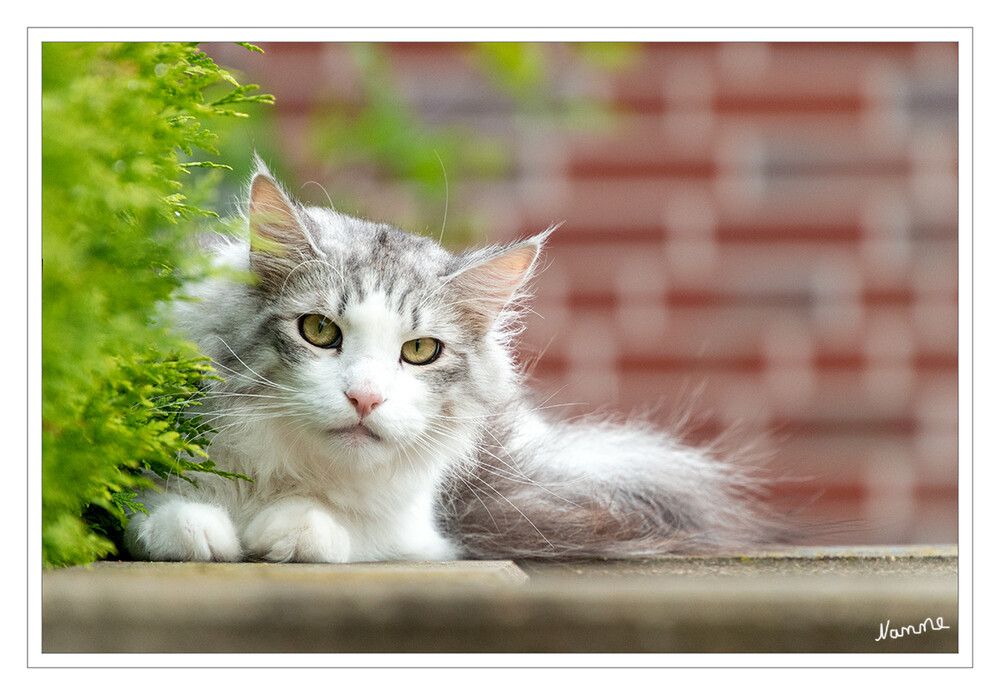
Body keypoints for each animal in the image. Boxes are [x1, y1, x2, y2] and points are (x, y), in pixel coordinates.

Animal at [123, 160, 780, 564]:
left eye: (420, 352)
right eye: (319, 331)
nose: (365, 397)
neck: (286, 472)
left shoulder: (423, 527)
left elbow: (351, 526)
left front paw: (292, 528)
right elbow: (144, 504)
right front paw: (195, 527)